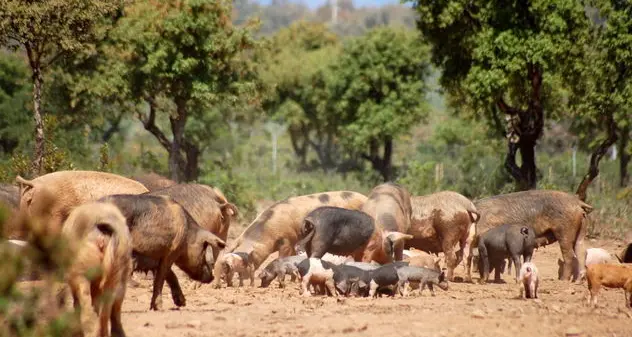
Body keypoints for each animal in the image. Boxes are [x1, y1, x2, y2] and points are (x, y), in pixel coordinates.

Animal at [97, 193, 226, 308]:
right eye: (203, 249)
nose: (211, 277)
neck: (187, 234)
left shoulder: (156, 257)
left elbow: (171, 275)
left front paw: (182, 303)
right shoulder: (171, 252)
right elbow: (161, 278)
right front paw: (158, 307)